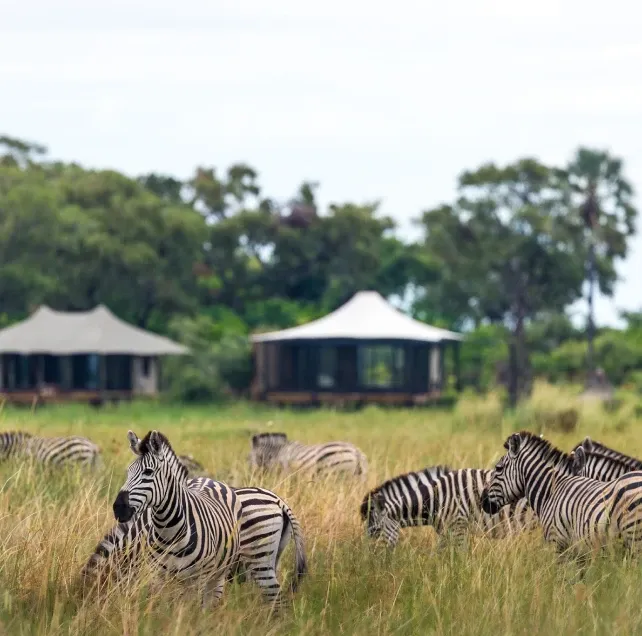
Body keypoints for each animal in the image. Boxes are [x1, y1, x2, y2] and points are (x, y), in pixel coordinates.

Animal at [111, 430, 243, 605]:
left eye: (148, 472)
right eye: (128, 472)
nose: (118, 508)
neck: (170, 532)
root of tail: (207, 479)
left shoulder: (197, 579)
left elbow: (190, 611)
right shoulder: (159, 576)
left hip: (218, 575)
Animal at [481, 431, 642, 558]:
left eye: (498, 468)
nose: (483, 501)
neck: (552, 491)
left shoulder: (558, 543)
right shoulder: (580, 551)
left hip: (634, 539)